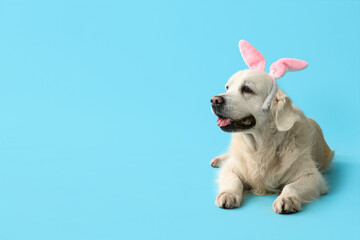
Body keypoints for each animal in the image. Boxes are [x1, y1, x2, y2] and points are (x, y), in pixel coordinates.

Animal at [210, 40, 334, 215]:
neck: (260, 147)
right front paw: (228, 194)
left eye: (246, 89)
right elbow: (233, 179)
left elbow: (292, 186)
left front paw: (287, 198)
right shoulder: (233, 167)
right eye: (227, 87)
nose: (214, 100)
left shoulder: (312, 176)